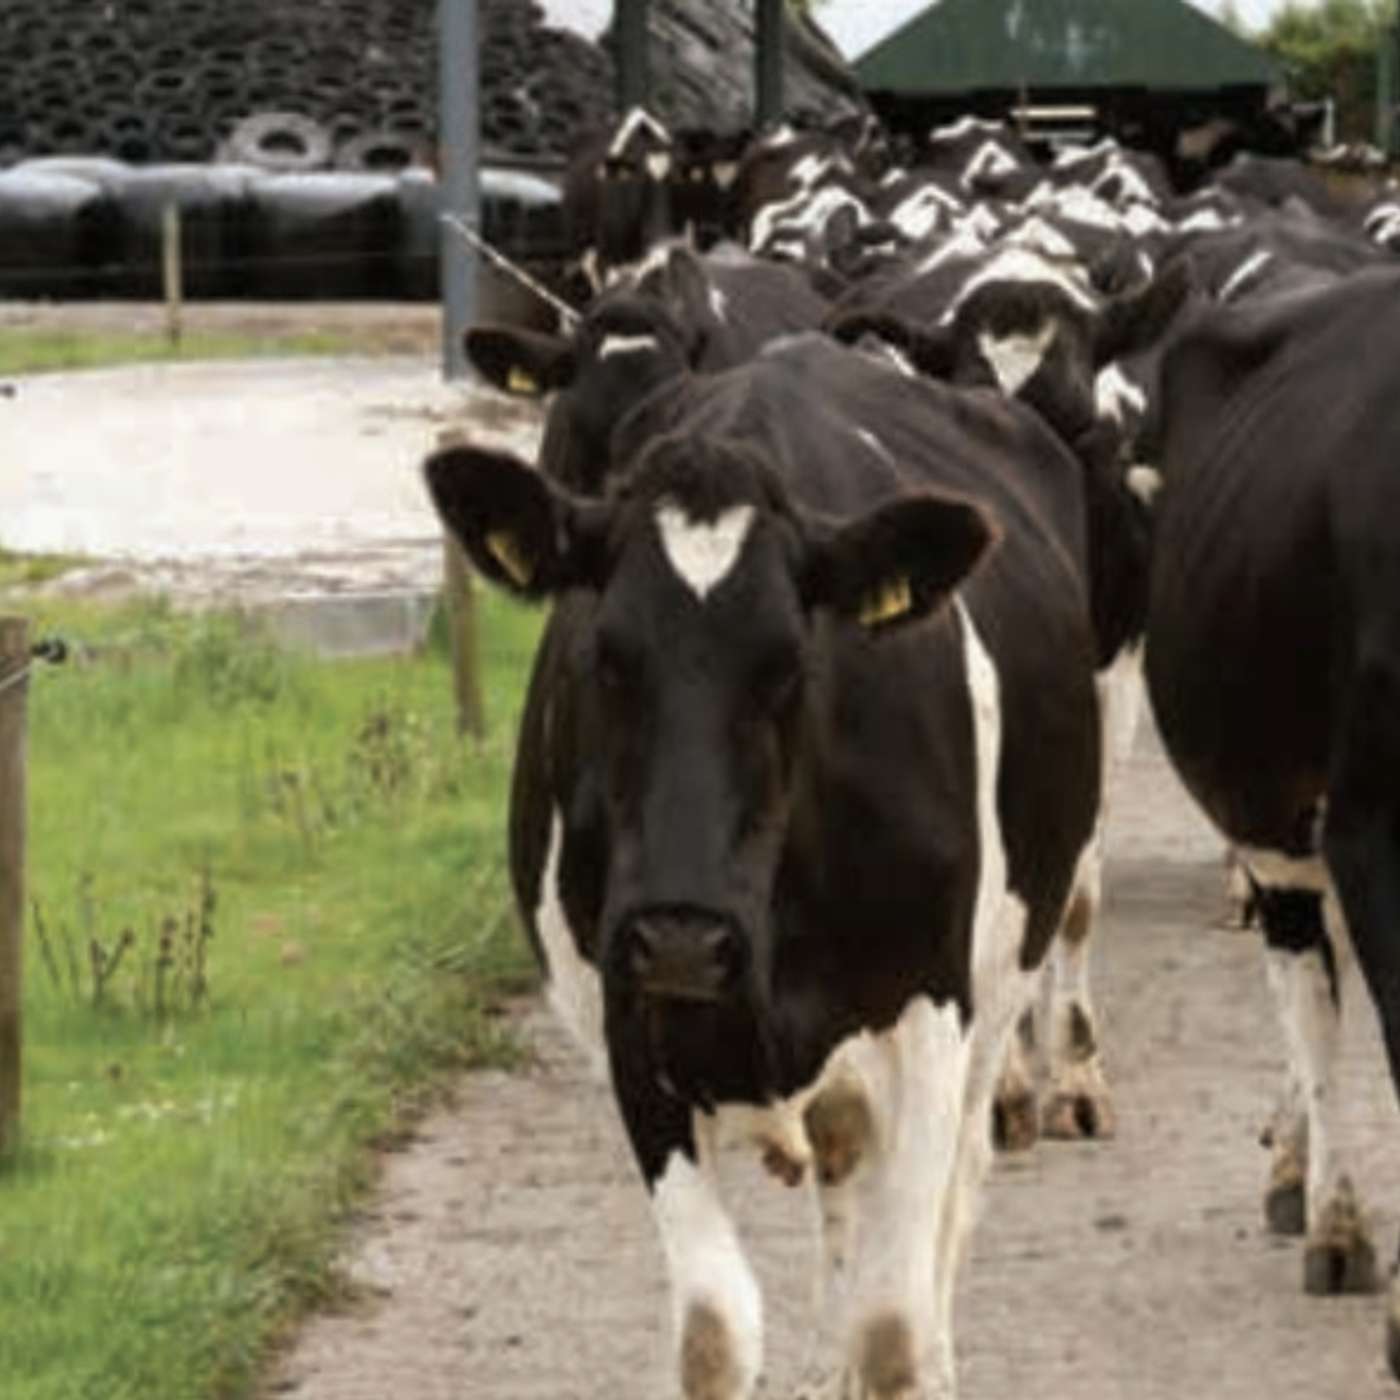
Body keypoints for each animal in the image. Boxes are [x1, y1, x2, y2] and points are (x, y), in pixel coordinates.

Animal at [425, 330, 1104, 1398]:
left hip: (994, 1002)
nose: (682, 939)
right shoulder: (632, 1024)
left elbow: (894, 1329)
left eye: (790, 663)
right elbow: (715, 1331)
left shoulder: (930, 1015)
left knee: (949, 1213)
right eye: (605, 655)